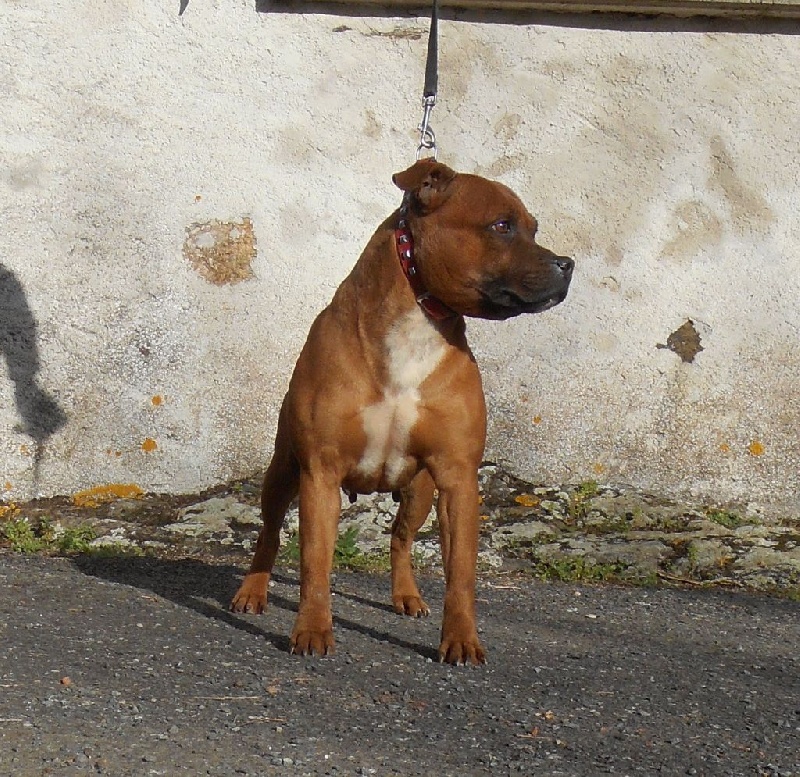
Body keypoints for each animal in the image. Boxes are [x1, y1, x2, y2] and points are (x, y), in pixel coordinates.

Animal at [231, 159, 573, 664]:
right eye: (502, 226)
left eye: (534, 228)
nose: (568, 264)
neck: (416, 325)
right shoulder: (320, 473)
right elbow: (315, 563)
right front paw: (312, 630)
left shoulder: (457, 477)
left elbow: (461, 573)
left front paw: (462, 639)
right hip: (284, 471)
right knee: (270, 531)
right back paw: (252, 590)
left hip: (420, 491)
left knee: (400, 536)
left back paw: (406, 595)